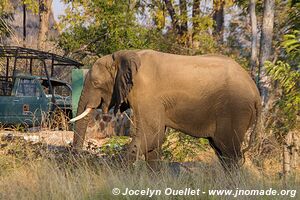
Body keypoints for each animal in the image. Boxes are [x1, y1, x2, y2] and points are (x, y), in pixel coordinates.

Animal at [69, 49, 260, 167]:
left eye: (96, 83)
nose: (76, 159)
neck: (125, 54)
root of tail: (256, 93)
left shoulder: (147, 94)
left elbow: (151, 135)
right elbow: (156, 139)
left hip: (235, 109)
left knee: (229, 151)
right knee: (222, 152)